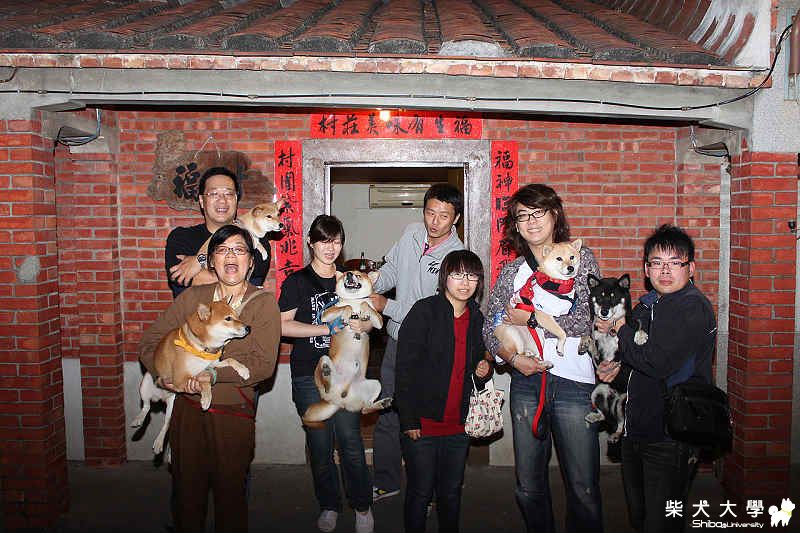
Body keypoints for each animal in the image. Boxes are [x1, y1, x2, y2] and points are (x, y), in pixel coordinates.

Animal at [131, 299, 251, 455]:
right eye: (228, 318)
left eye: (237, 316)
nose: (248, 327)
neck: (200, 347)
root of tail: (160, 397)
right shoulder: (180, 378)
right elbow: (202, 380)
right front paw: (206, 398)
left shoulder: (214, 364)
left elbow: (230, 360)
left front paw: (243, 369)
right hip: (145, 384)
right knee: (146, 406)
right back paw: (138, 420)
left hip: (172, 405)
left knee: (166, 423)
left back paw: (159, 442)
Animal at [301, 270, 391, 424]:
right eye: (344, 275)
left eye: (359, 275)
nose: (349, 274)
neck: (354, 300)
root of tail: (337, 400)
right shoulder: (326, 314)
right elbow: (345, 307)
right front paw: (346, 314)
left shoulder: (378, 321)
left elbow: (365, 304)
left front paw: (364, 312)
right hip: (323, 360)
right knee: (324, 387)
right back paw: (326, 374)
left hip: (376, 384)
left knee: (365, 409)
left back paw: (383, 403)